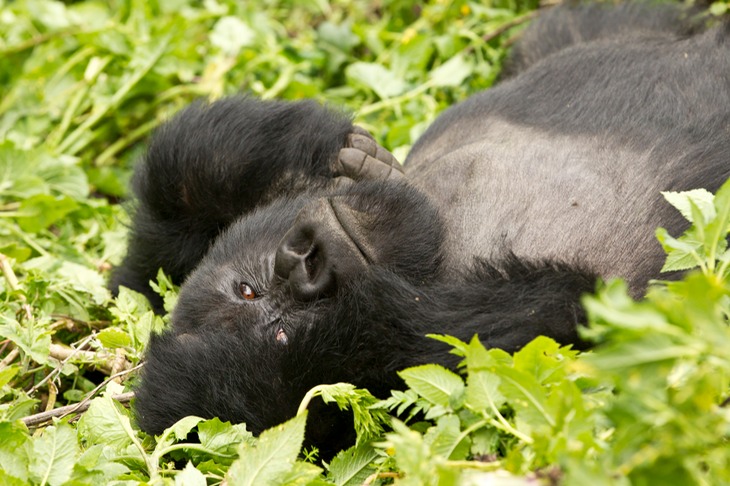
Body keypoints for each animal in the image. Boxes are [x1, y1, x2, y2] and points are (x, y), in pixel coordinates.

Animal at [109, 3, 728, 458]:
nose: (303, 264)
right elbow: (560, 311)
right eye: (281, 334)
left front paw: (311, 155)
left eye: (246, 289)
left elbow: (183, 174)